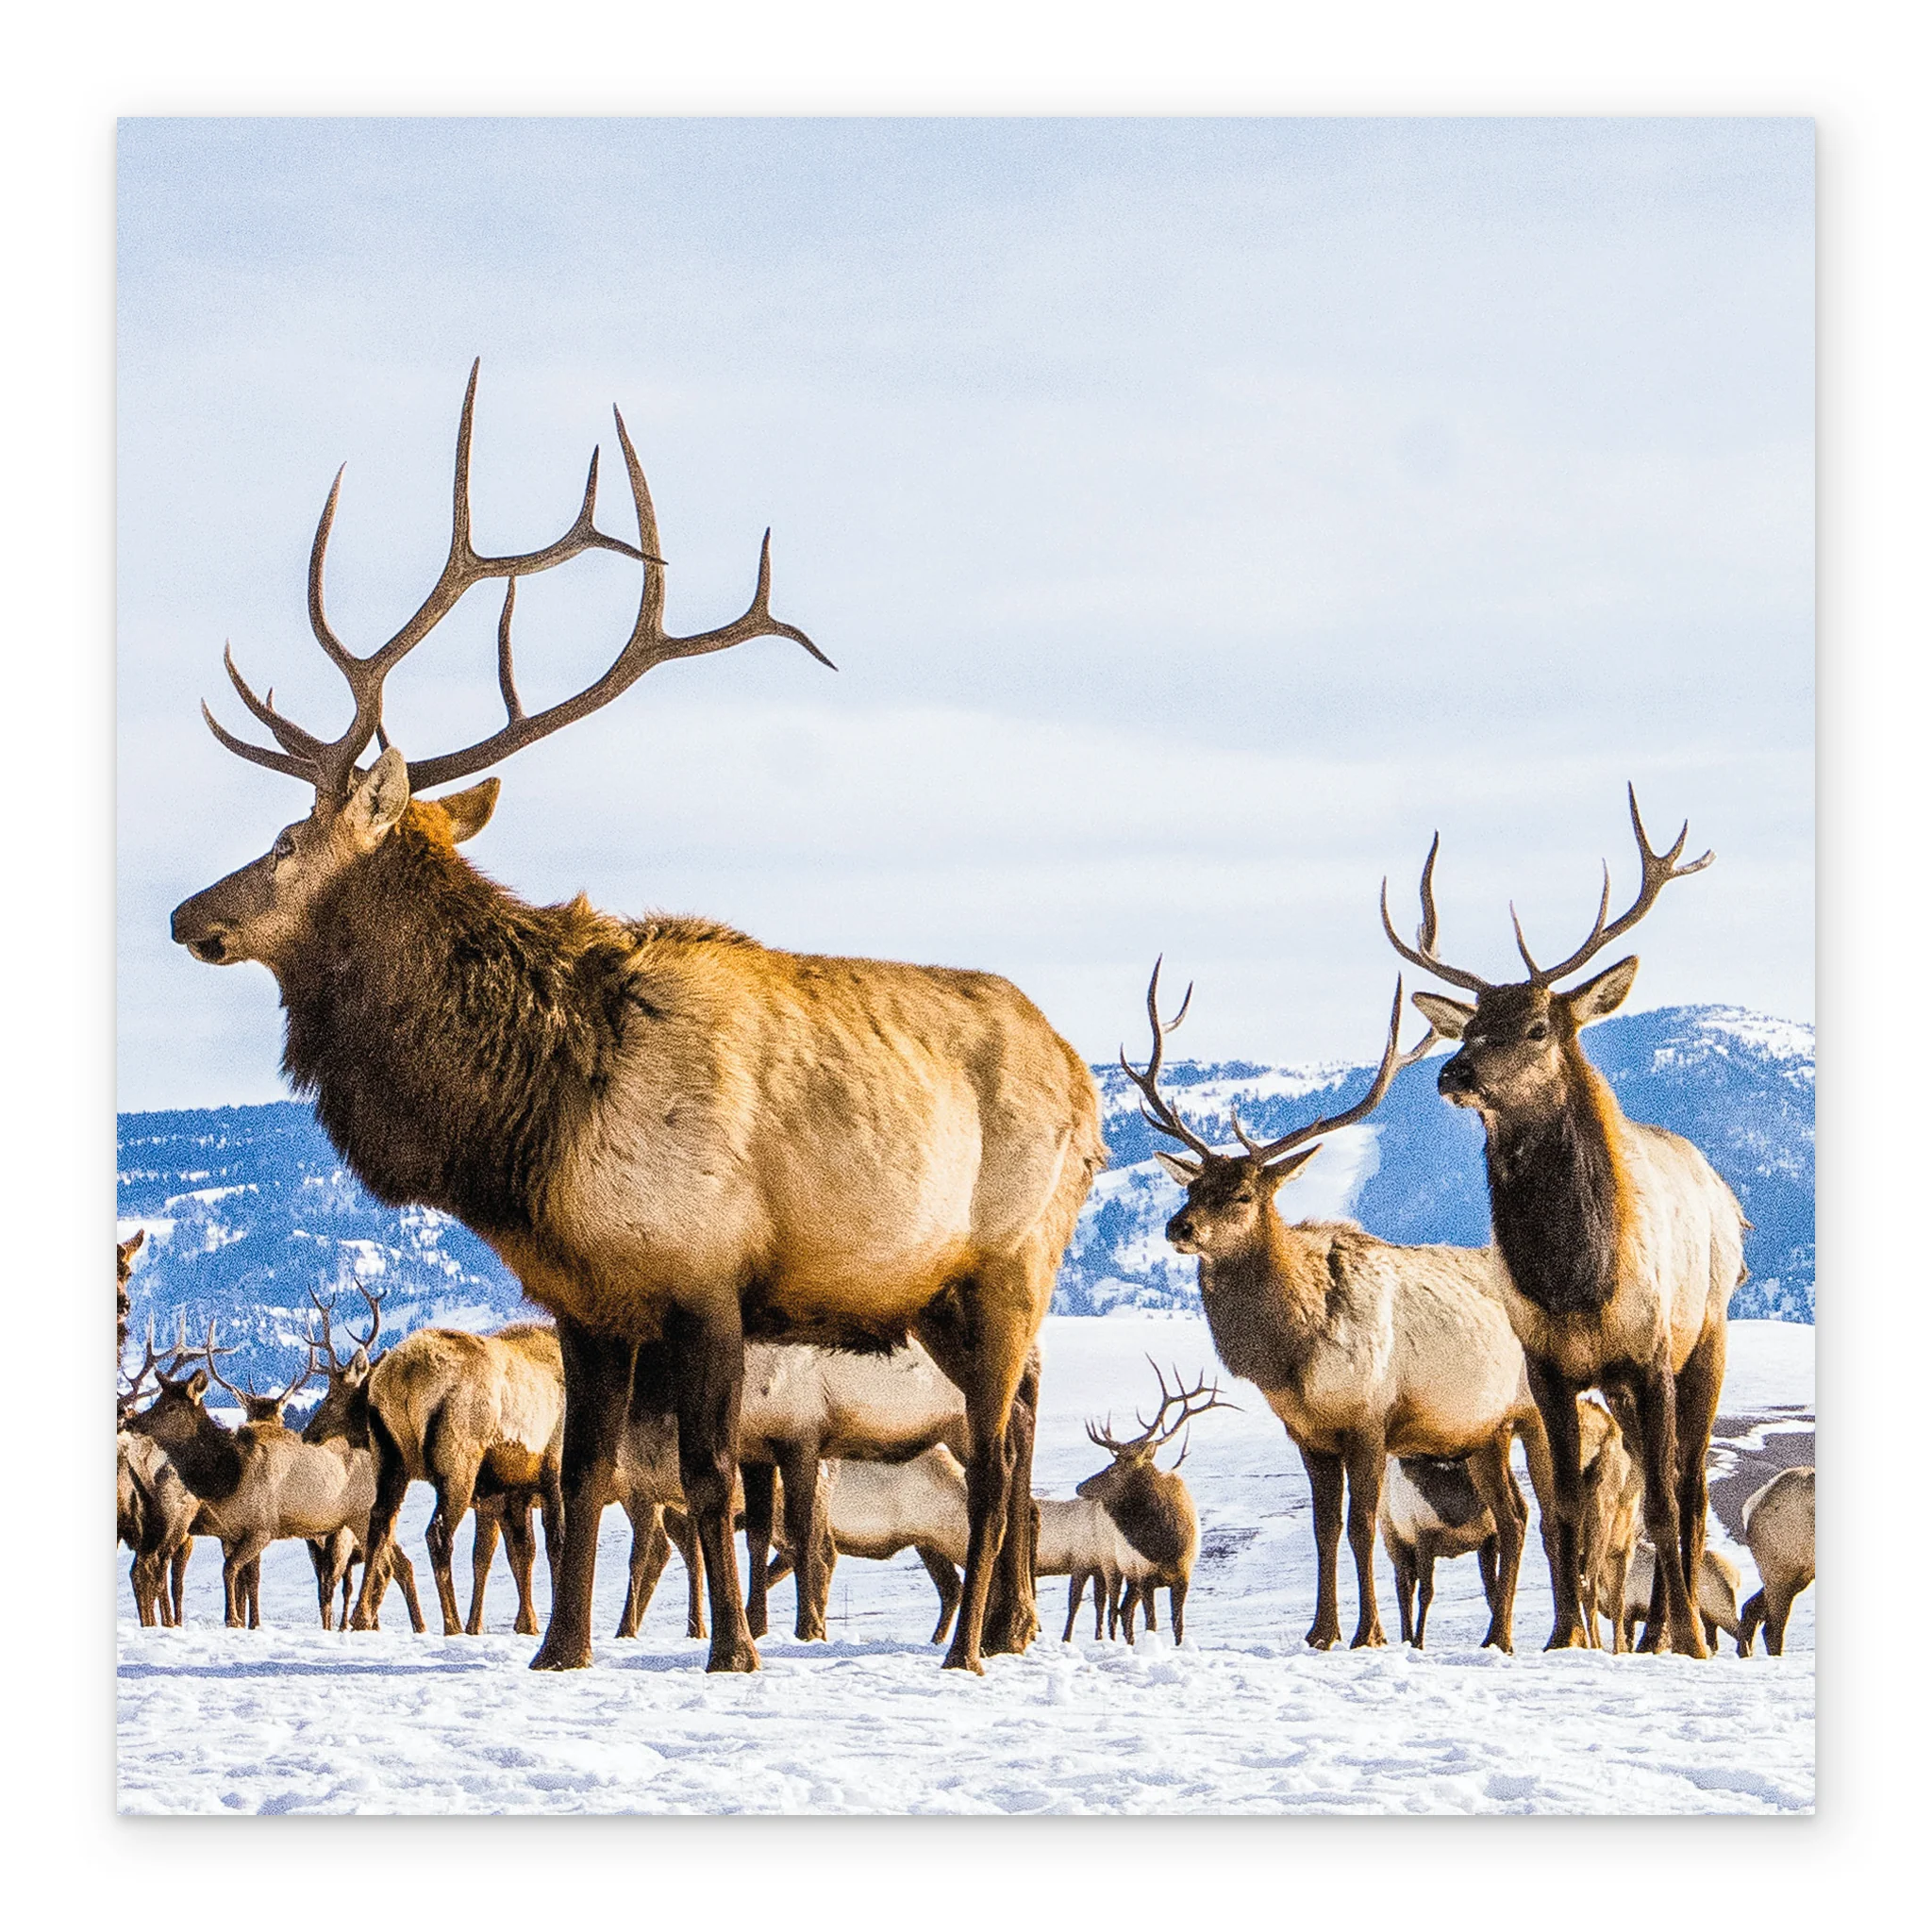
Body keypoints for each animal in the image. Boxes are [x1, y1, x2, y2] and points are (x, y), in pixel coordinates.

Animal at [169, 361, 1104, 1673]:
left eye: (287, 838)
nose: (183, 915)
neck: (532, 1122)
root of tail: (1088, 1084)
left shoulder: (706, 1280)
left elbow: (708, 1478)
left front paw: (735, 1651)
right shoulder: (586, 1300)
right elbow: (582, 1479)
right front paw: (557, 1648)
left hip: (1011, 1258)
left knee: (997, 1449)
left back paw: (968, 1644)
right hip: (938, 1296)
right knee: (1011, 1432)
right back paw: (1005, 1628)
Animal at [1077, 1364, 1229, 1646]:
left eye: (1114, 1469)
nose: (1080, 1486)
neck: (1165, 1545)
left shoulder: (1183, 1576)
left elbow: (1178, 1624)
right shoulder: (1145, 1575)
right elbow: (1152, 1623)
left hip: (1128, 1577)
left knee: (1124, 1610)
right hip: (1111, 1564)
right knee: (1112, 1609)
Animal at [1124, 963, 1558, 1653]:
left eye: (1243, 1194)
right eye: (1192, 1185)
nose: (1178, 1227)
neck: (1293, 1356)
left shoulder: (1370, 1420)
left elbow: (1361, 1527)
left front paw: (1367, 1633)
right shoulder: (1308, 1434)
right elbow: (1323, 1530)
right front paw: (1320, 1630)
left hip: (1533, 1411)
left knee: (1554, 1515)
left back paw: (1563, 1634)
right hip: (1482, 1430)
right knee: (1513, 1516)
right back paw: (1500, 1635)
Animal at [1381, 786, 1748, 1656]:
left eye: (1539, 1025)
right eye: (1470, 1025)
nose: (1453, 1071)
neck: (1574, 1279)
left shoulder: (1650, 1354)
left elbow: (1660, 1504)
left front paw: (1688, 1637)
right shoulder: (1548, 1367)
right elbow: (1567, 1515)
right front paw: (1562, 1637)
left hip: (1706, 1338)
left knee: (1686, 1488)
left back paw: (1679, 1632)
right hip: (1619, 1388)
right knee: (1653, 1482)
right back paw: (1651, 1633)